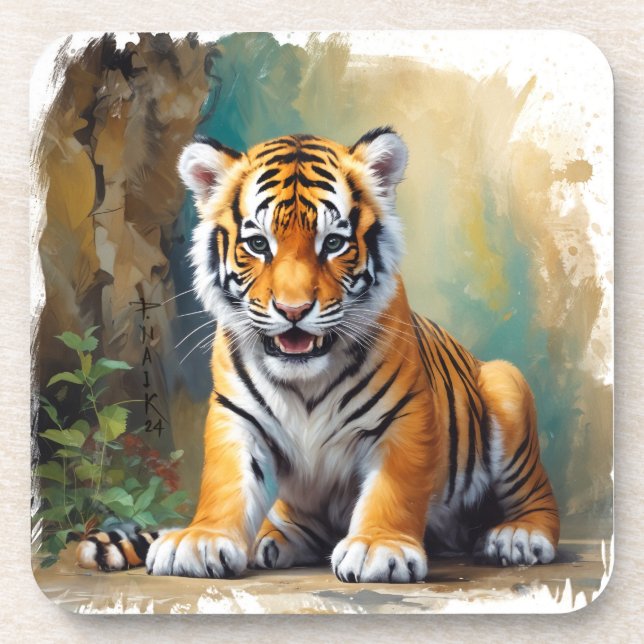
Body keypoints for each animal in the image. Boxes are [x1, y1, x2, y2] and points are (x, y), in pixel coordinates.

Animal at [76, 127, 559, 582]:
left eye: (332, 243)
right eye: (258, 244)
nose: (293, 310)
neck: (304, 379)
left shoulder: (404, 415)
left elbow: (393, 487)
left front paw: (377, 547)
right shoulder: (236, 414)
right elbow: (227, 480)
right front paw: (200, 540)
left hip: (506, 385)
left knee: (540, 499)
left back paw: (519, 535)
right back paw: (270, 539)